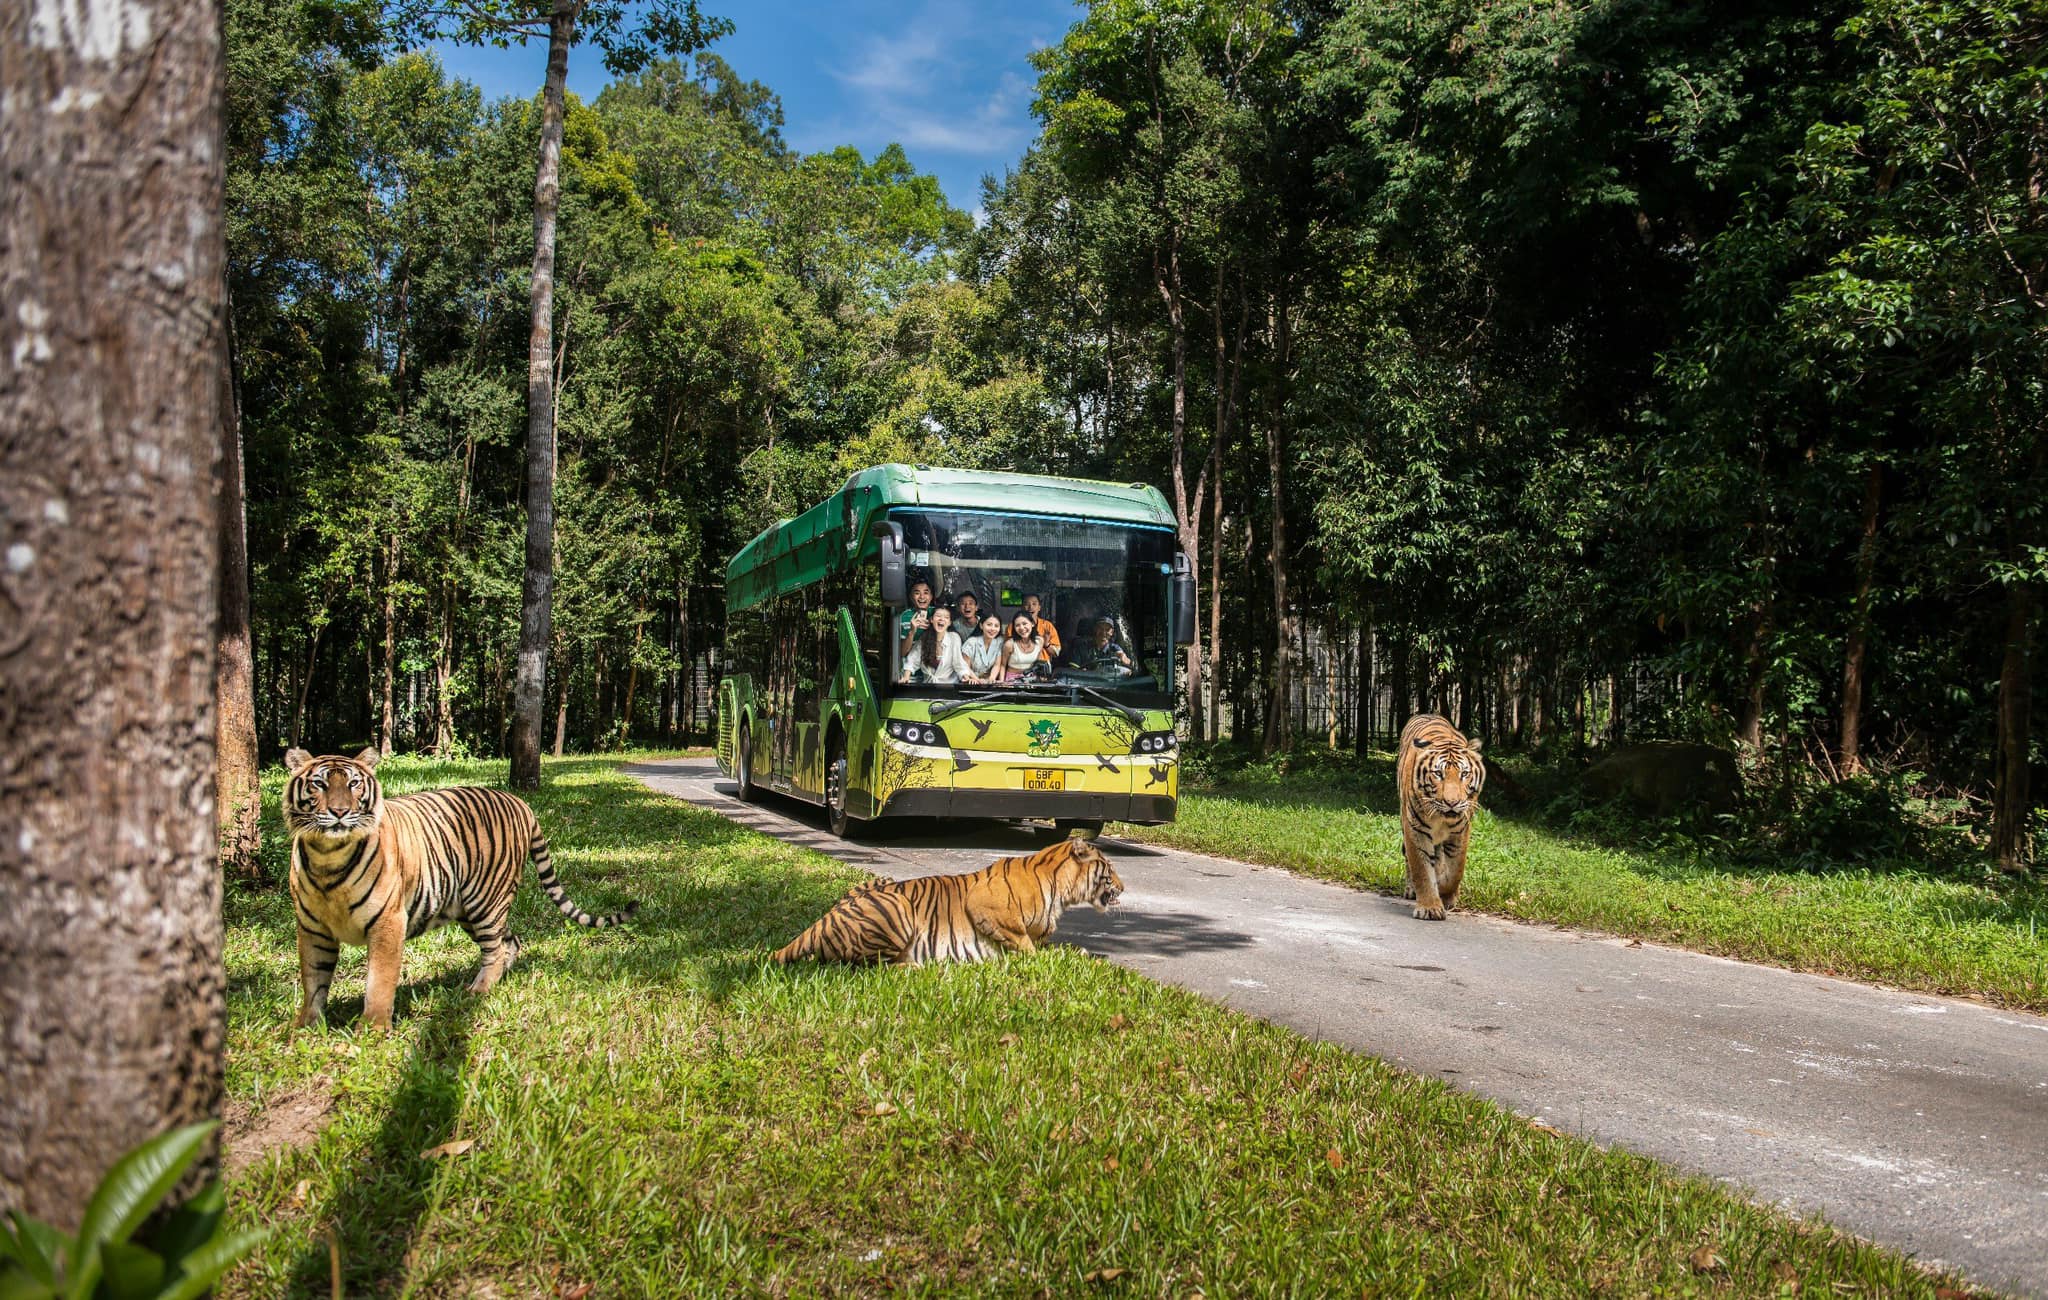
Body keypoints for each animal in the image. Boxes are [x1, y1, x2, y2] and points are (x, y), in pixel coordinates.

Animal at [282, 749, 630, 1031]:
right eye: (319, 784)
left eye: (354, 784)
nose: (340, 812)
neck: (328, 857)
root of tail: (520, 802)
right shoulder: (312, 929)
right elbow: (313, 979)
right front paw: (304, 1027)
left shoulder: (387, 922)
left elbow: (379, 980)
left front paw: (373, 1029)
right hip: (469, 910)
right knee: (509, 940)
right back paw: (497, 980)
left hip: (485, 901)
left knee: (494, 949)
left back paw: (478, 991)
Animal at [770, 835, 1122, 966]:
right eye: (1110, 870)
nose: (1122, 886)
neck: (1061, 891)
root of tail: (821, 921)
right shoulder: (983, 906)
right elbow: (1027, 946)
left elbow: (1062, 946)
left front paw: (1086, 954)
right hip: (898, 909)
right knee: (865, 964)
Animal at [1392, 716, 1490, 921]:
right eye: (1438, 774)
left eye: (1464, 774)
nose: (1452, 802)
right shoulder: (1416, 831)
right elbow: (1421, 870)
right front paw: (1430, 908)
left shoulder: (1460, 832)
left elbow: (1455, 871)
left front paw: (1447, 896)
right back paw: (1412, 890)